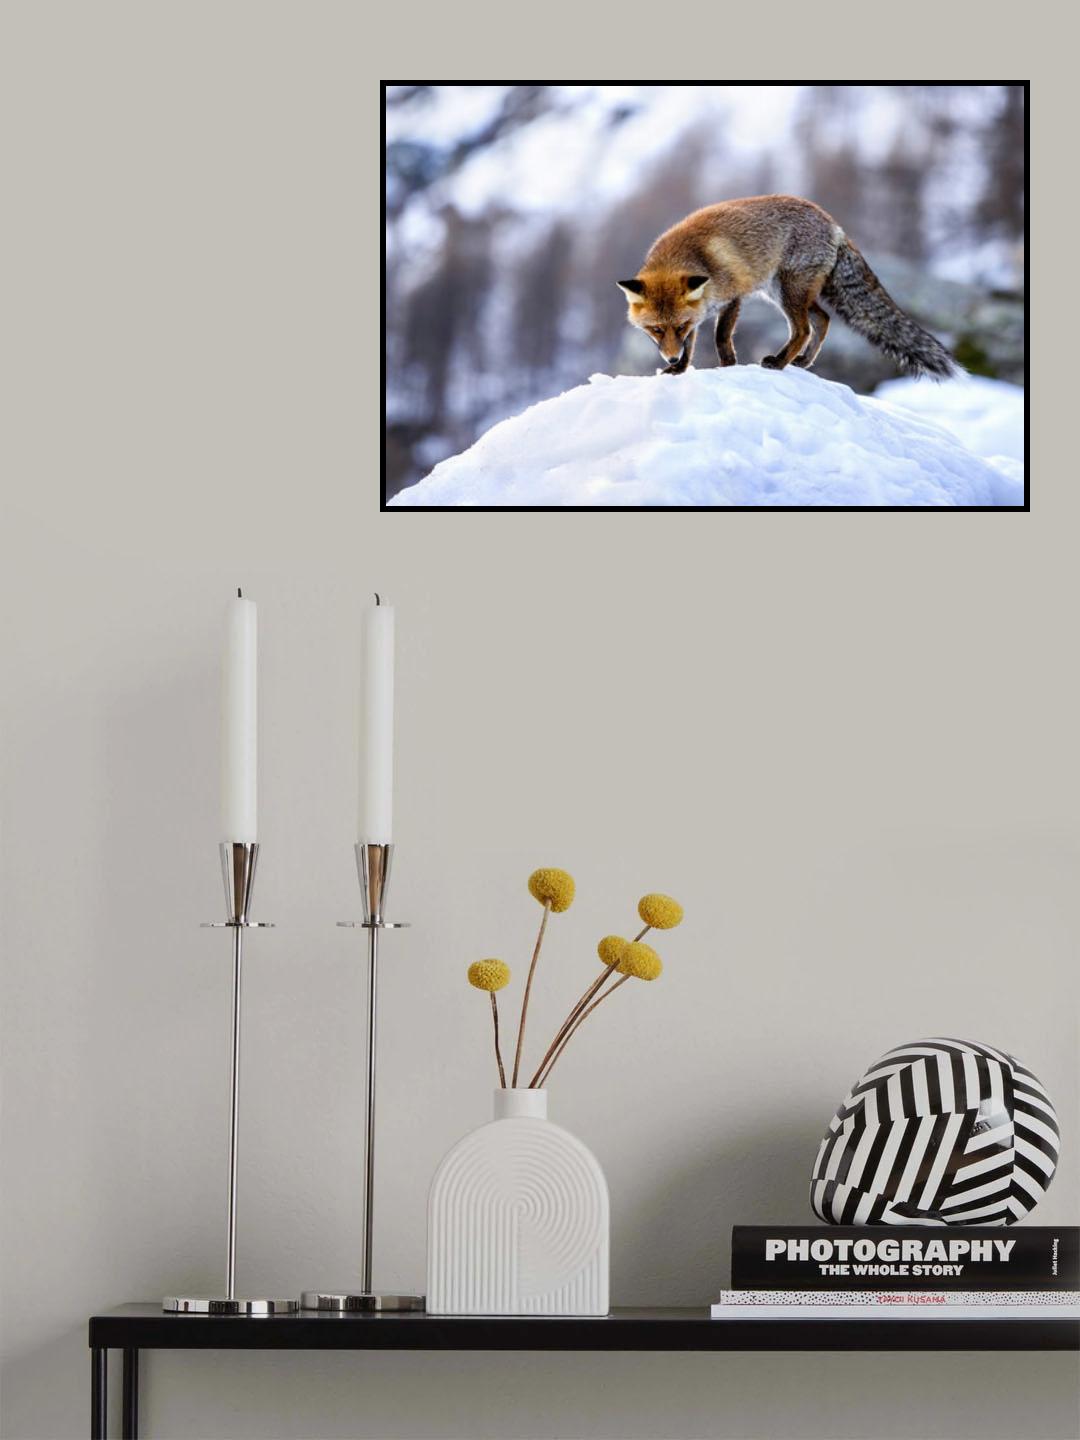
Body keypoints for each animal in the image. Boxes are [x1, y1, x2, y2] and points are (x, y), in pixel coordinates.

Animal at [618, 195, 957, 380]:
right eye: (656, 330)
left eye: (675, 326)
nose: (670, 359)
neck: (691, 257)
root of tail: (833, 224)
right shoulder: (699, 311)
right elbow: (691, 344)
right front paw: (679, 370)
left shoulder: (733, 297)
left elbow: (720, 337)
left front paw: (727, 366)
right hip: (785, 292)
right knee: (823, 319)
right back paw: (803, 361)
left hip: (787, 291)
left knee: (804, 328)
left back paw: (780, 362)